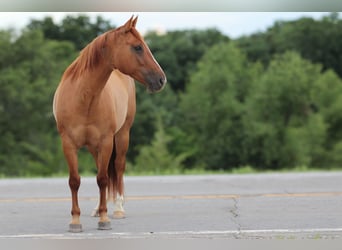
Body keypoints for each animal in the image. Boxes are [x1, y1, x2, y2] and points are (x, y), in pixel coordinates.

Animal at [52, 16, 167, 232]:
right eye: (138, 47)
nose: (161, 79)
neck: (84, 99)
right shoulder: (68, 144)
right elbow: (75, 180)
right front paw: (75, 221)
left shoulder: (106, 142)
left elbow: (103, 179)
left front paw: (105, 219)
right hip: (93, 146)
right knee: (101, 168)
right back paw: (97, 208)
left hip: (122, 136)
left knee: (118, 167)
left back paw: (118, 208)